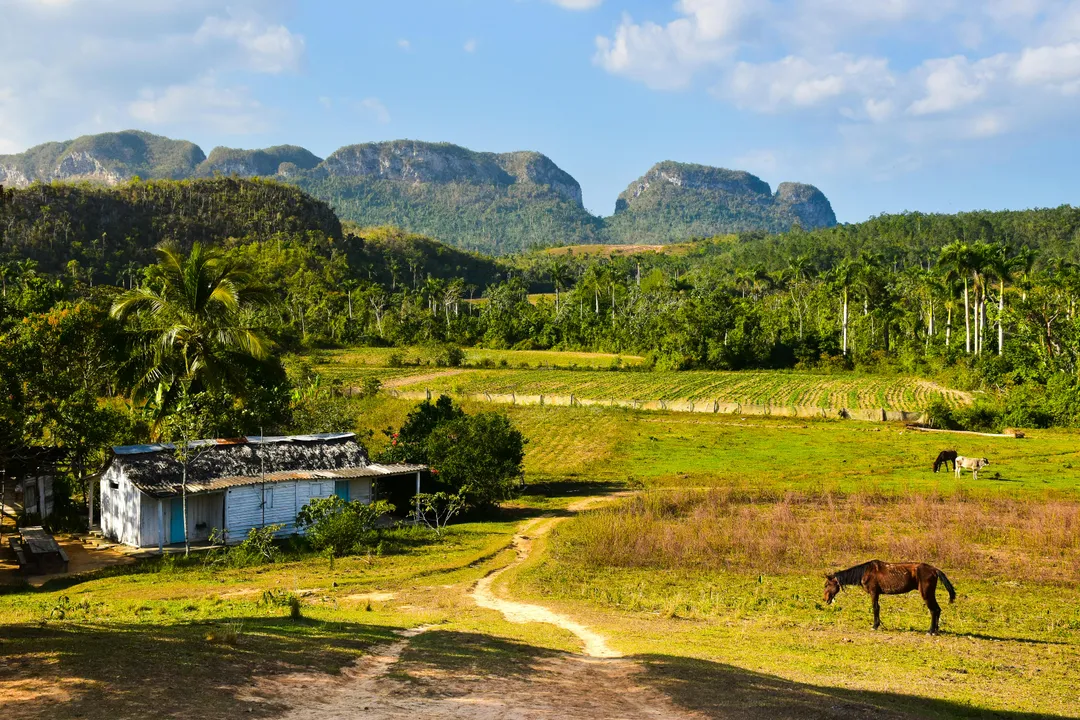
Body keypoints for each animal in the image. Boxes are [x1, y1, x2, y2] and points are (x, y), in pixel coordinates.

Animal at [820, 561, 959, 634]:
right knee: (938, 610)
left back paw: (930, 631)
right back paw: (935, 630)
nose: (825, 598)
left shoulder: (874, 592)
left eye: (827, 585)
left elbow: (875, 608)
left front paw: (875, 626)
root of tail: (935, 570)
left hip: (926, 594)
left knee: (934, 610)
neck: (865, 572)